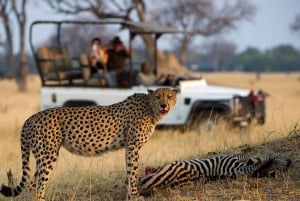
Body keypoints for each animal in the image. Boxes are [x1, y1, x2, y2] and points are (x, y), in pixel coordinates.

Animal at [0, 87, 177, 199]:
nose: (164, 105)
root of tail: (31, 117)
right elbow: (132, 171)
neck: (150, 107)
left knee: (31, 184)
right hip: (48, 156)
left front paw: (129, 194)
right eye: (158, 96)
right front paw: (134, 195)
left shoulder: (129, 148)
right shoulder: (133, 146)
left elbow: (129, 170)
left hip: (42, 156)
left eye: (169, 96)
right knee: (39, 184)